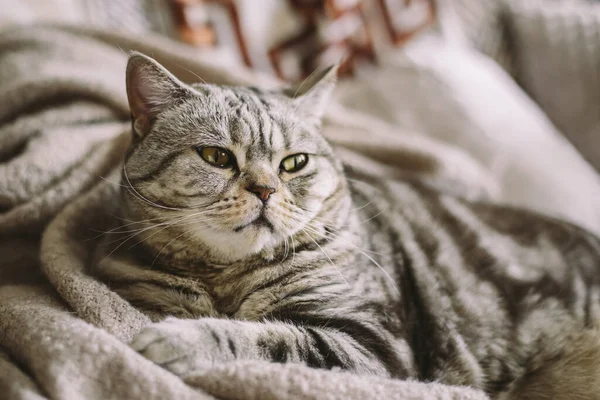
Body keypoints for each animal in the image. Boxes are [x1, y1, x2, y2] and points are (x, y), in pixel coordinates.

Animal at [92, 54, 600, 400]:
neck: (226, 278)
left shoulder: (372, 345)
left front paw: (176, 337)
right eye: (217, 156)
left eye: (294, 163)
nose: (264, 190)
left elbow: (263, 338)